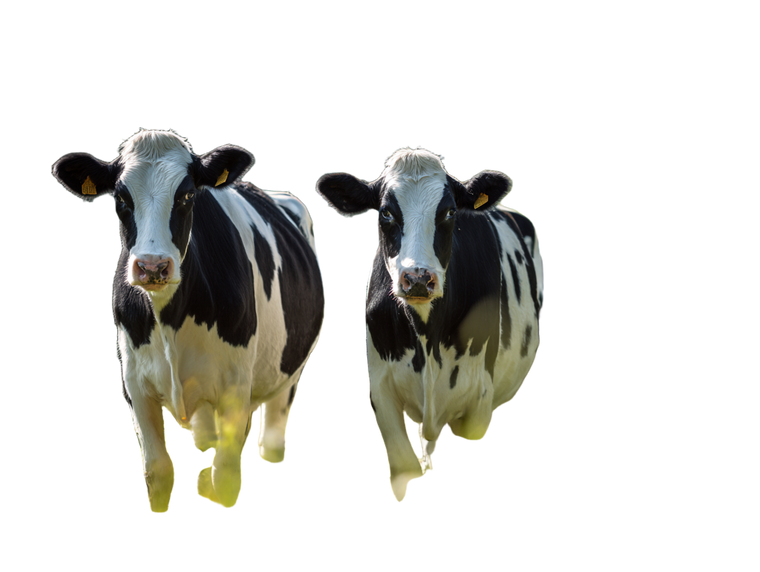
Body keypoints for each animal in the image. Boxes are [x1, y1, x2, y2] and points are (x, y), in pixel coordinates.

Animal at [50, 127, 326, 514]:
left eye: (187, 195)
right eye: (120, 198)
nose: (152, 266)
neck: (171, 318)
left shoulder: (235, 386)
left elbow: (225, 479)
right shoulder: (135, 385)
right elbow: (159, 474)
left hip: (287, 376)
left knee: (271, 438)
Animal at [314, 146, 544, 504]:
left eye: (449, 212)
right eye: (385, 213)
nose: (419, 278)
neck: (427, 335)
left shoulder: (479, 398)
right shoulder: (381, 390)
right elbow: (405, 469)